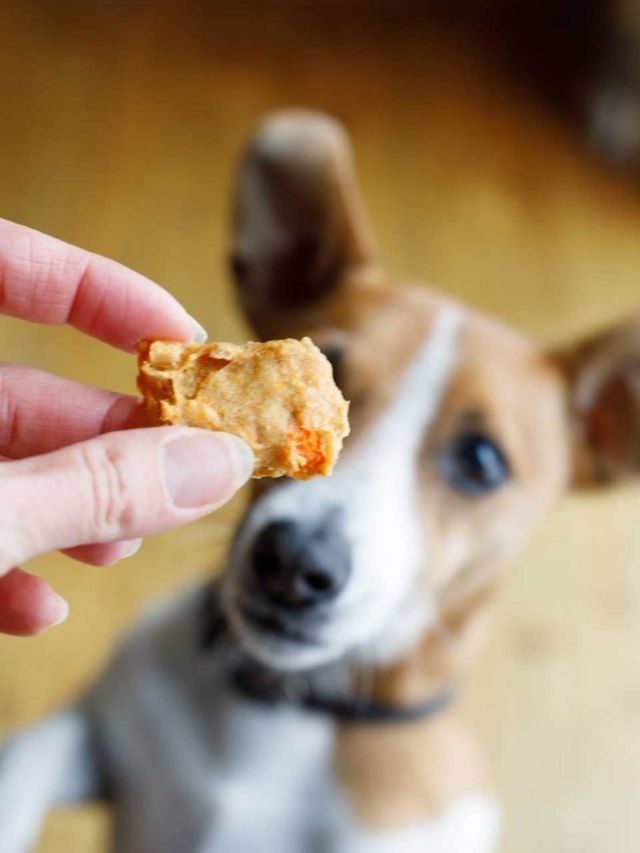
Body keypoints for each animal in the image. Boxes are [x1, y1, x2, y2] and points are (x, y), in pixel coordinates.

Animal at [1, 113, 640, 852]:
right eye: (331, 366)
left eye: (482, 460)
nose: (294, 563)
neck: (278, 714)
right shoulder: (100, 726)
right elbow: (28, 754)